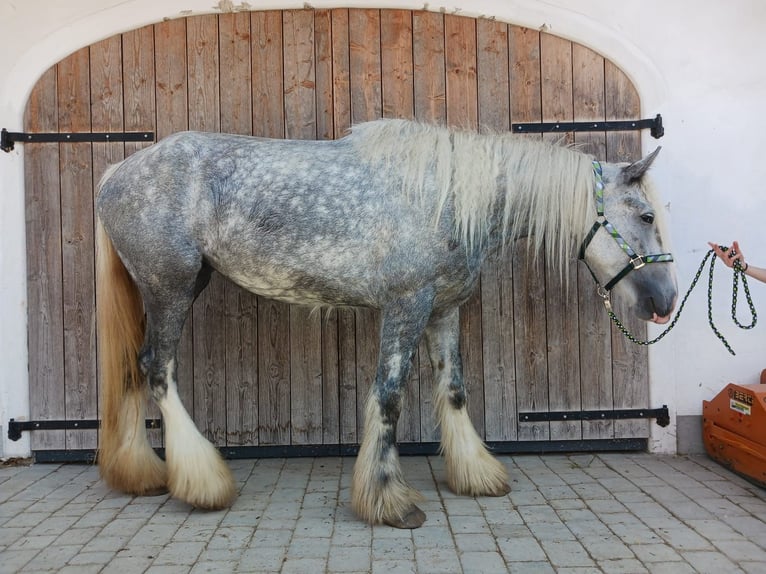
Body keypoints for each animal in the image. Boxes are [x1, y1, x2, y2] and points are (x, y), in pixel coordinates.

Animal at [95, 119, 677, 529]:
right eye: (647, 216)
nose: (666, 299)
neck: (446, 199)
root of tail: (115, 174)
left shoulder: (443, 310)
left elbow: (455, 390)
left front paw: (477, 475)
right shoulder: (406, 307)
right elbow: (389, 396)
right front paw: (387, 500)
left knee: (133, 368)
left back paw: (141, 476)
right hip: (170, 289)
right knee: (158, 370)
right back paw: (202, 483)